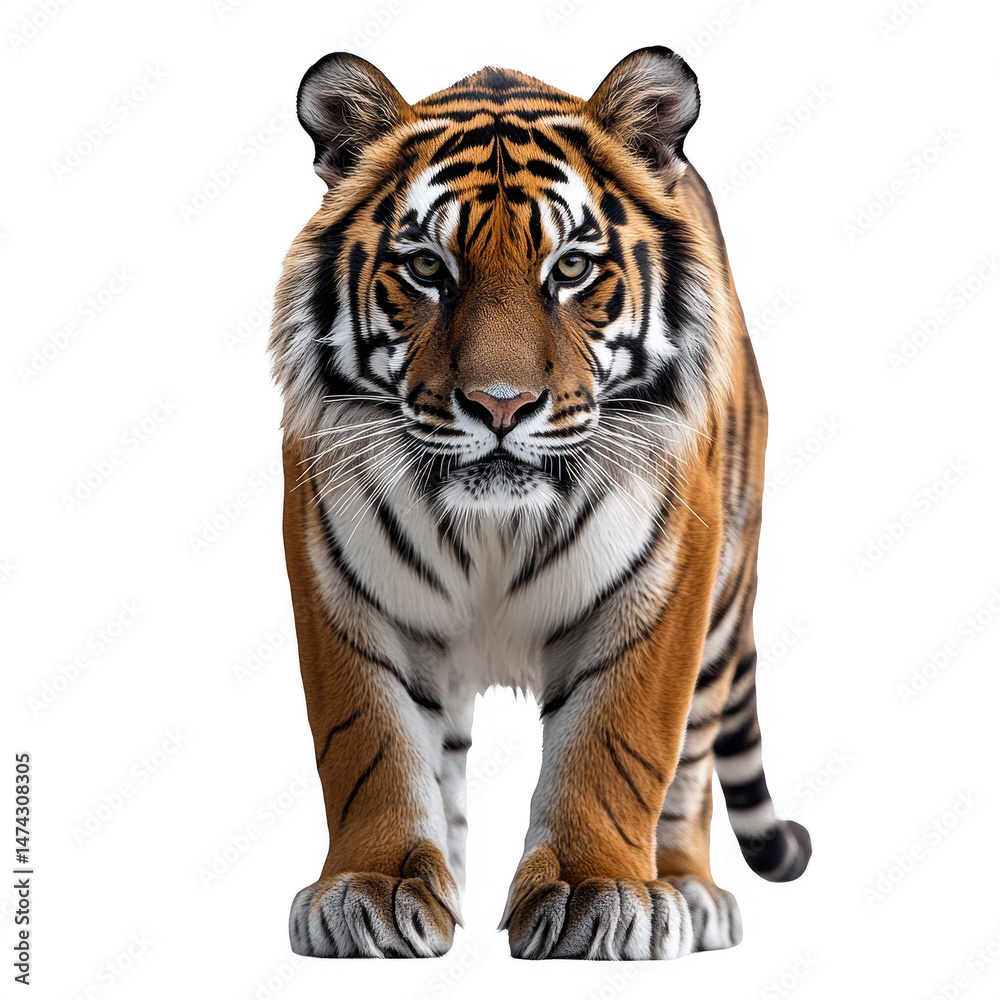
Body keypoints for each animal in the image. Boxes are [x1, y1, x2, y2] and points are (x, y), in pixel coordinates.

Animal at [269, 45, 811, 961]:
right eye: (427, 268)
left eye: (571, 269)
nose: (500, 405)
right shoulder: (338, 576)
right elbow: (368, 742)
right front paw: (374, 887)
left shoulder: (665, 579)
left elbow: (618, 744)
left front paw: (600, 890)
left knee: (693, 760)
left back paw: (689, 891)